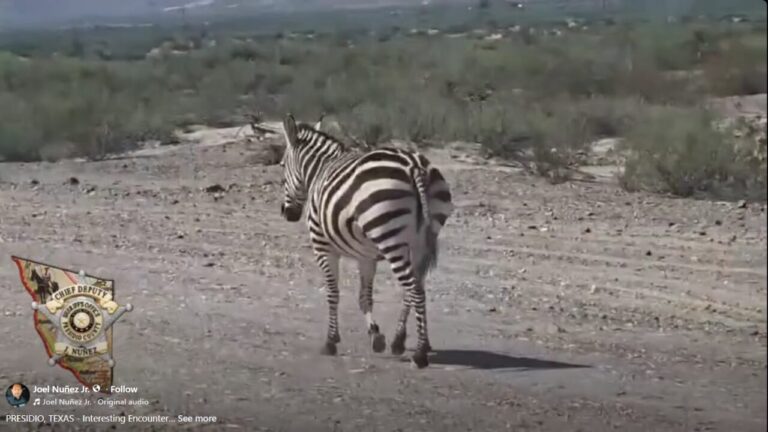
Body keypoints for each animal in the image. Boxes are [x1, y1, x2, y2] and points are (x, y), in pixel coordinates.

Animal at [279, 114, 453, 368]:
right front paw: (376, 336)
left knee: (414, 289)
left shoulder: (322, 247)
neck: (320, 170)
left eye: (282, 166)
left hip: (390, 238)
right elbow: (364, 297)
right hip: (421, 239)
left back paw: (420, 353)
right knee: (415, 288)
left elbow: (333, 292)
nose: (287, 213)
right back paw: (401, 341)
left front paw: (331, 341)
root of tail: (414, 166)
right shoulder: (366, 256)